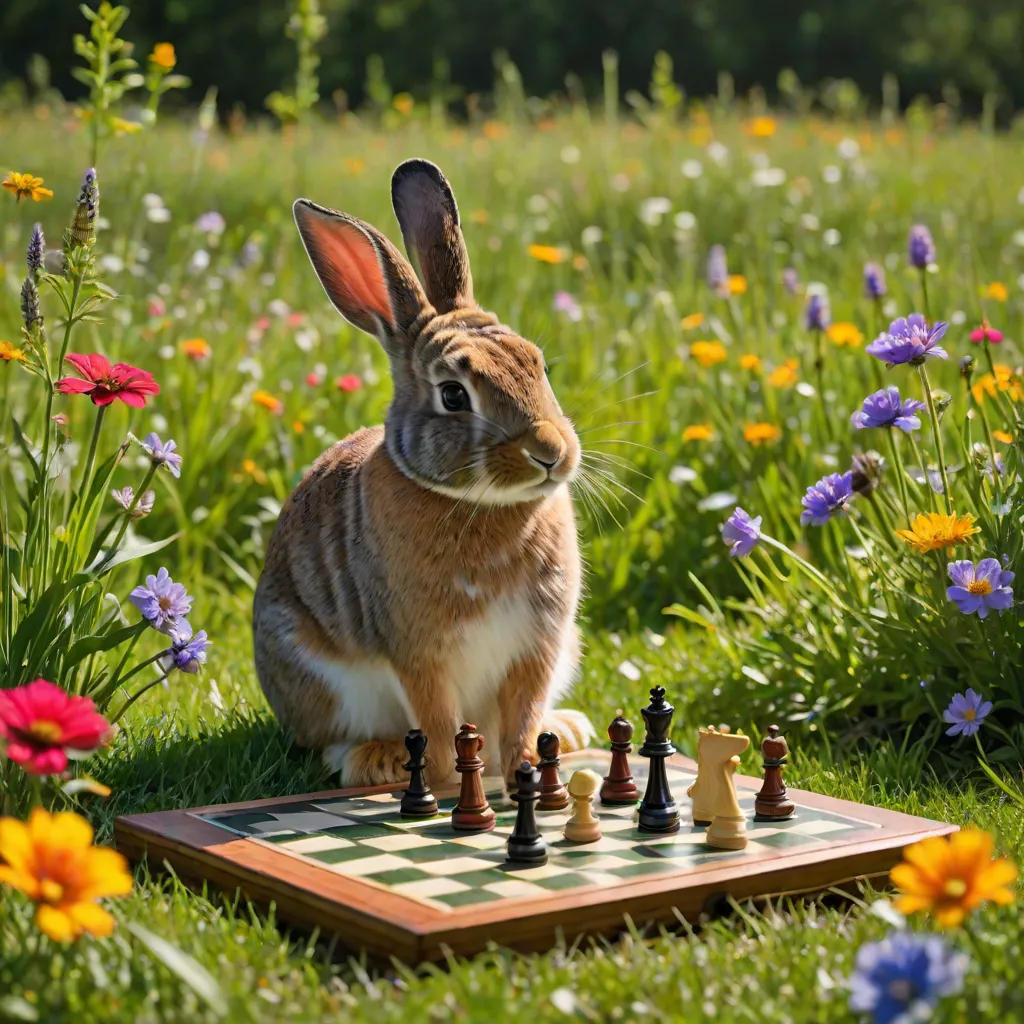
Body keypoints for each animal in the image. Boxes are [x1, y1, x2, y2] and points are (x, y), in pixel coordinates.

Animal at [253, 158, 594, 788]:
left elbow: (523, 715)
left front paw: (529, 772)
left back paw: (570, 730)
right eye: (454, 395)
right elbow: (435, 722)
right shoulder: (418, 651)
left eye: (536, 365)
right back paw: (375, 761)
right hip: (318, 679)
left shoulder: (538, 644)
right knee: (326, 742)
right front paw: (444, 782)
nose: (550, 451)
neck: (482, 504)